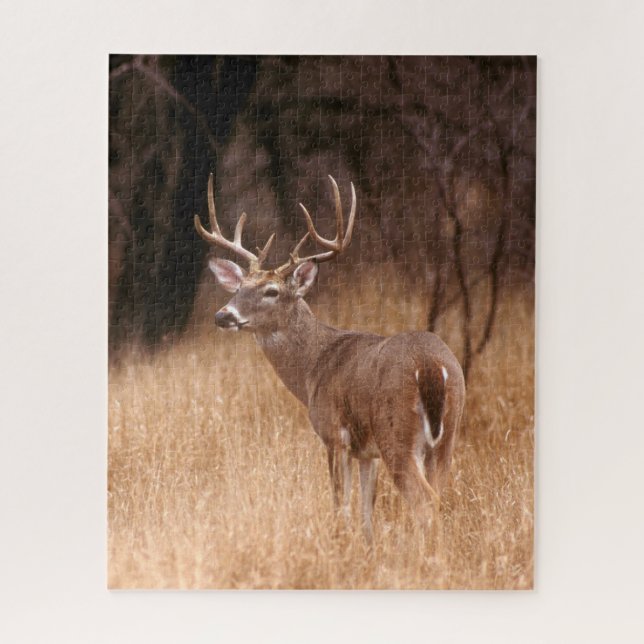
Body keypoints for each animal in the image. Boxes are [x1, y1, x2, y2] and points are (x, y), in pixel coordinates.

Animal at [195, 174, 465, 541]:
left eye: (272, 291)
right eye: (239, 288)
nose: (223, 315)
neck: (313, 367)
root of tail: (431, 367)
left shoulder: (333, 434)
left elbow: (341, 506)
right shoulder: (367, 452)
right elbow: (366, 511)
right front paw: (366, 547)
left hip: (396, 431)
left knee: (425, 504)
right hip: (447, 436)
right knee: (439, 498)